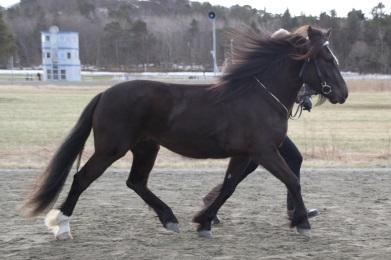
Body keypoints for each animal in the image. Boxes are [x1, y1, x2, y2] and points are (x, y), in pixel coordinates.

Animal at [23, 25, 348, 239]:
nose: (343, 93)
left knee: (136, 182)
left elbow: (229, 186)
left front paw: (204, 222)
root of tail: (105, 93)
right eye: (328, 60)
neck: (260, 97)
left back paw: (170, 219)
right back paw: (61, 226)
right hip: (111, 149)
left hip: (146, 147)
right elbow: (292, 180)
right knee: (82, 178)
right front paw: (303, 223)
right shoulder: (264, 151)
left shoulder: (245, 155)